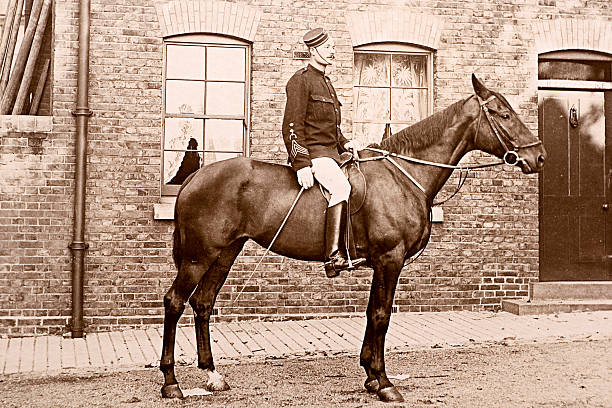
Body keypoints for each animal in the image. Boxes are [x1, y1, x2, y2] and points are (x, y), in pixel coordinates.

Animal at [160, 75, 548, 404]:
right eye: (503, 114)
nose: (539, 156)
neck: (404, 175)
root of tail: (193, 179)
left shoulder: (383, 263)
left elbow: (371, 313)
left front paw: (371, 377)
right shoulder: (390, 259)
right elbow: (380, 315)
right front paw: (384, 382)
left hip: (225, 253)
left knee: (203, 303)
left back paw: (212, 375)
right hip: (198, 257)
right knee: (174, 302)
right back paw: (171, 383)